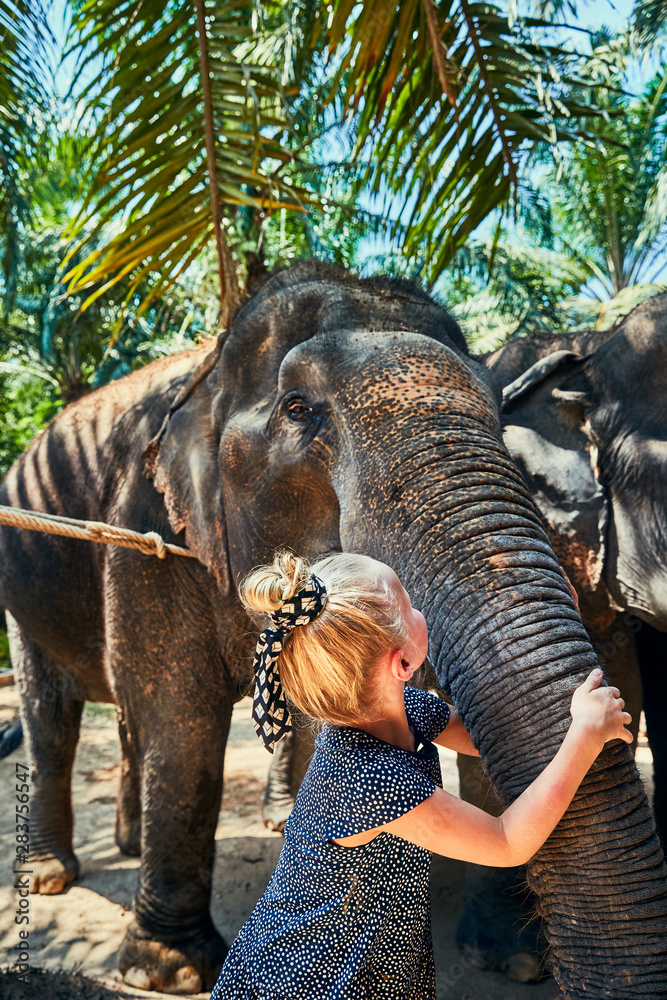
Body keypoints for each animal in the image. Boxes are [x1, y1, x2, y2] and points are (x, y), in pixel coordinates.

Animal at [1, 262, 667, 996]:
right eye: (298, 409)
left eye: (499, 415)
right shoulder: (147, 531)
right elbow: (177, 717)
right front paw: (166, 972)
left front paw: (510, 961)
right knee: (52, 718)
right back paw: (51, 877)